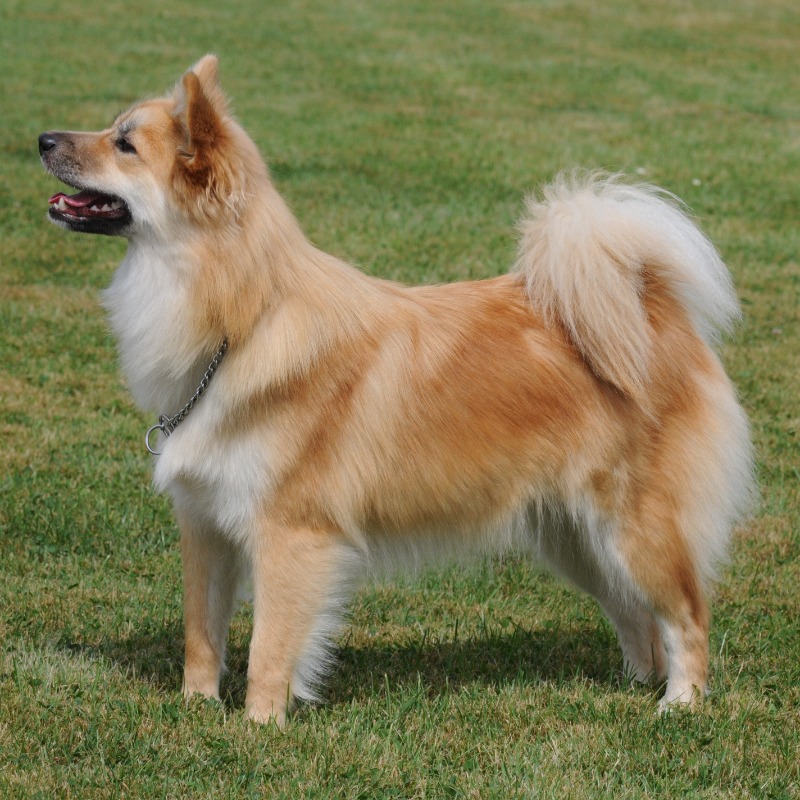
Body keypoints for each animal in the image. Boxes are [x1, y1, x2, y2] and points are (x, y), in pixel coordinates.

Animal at [39, 53, 752, 720]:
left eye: (124, 144)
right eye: (113, 129)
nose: (42, 138)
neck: (243, 320)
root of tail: (650, 302)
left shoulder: (289, 533)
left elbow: (270, 647)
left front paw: (258, 728)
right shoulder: (205, 525)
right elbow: (201, 635)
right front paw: (196, 711)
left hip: (634, 529)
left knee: (687, 615)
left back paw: (679, 704)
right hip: (574, 536)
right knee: (636, 616)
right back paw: (631, 689)